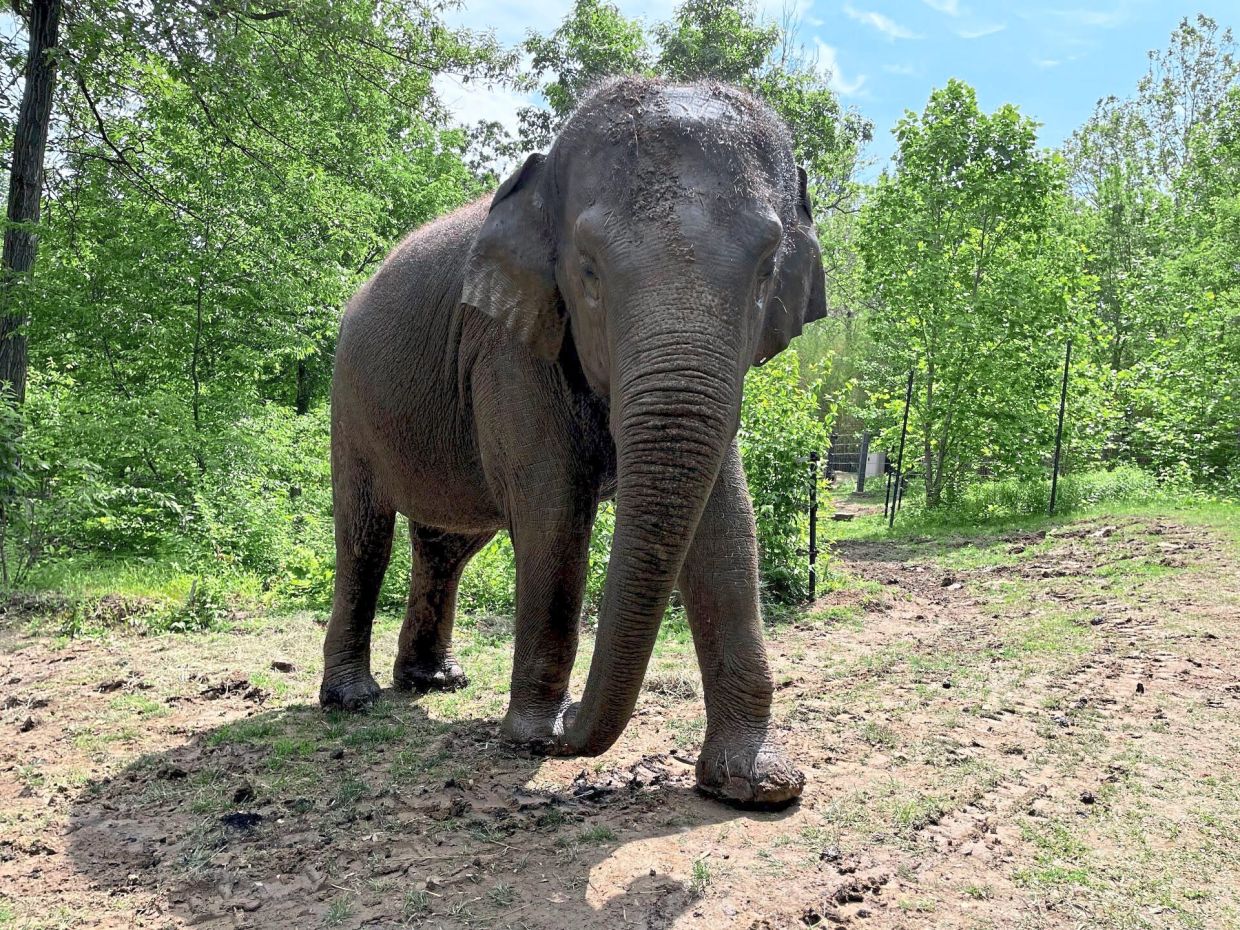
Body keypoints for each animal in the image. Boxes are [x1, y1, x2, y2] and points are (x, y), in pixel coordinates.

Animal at [319, 77, 826, 807]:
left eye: (766, 270)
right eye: (588, 270)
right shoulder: (508, 344)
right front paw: (532, 736)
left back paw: (436, 683)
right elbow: (554, 511)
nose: (569, 722)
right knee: (364, 536)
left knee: (447, 545)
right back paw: (352, 700)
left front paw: (759, 787)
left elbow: (727, 525)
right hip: (349, 398)